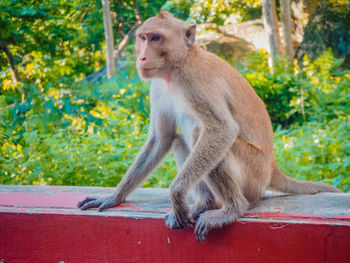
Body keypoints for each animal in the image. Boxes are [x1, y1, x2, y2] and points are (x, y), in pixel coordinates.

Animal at [77, 10, 342, 243]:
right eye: (143, 38)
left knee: (201, 135)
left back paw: (232, 209)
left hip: (253, 174)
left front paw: (176, 194)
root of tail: (271, 167)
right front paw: (113, 197)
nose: (141, 57)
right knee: (180, 140)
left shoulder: (194, 80)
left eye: (156, 38)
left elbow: (221, 130)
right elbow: (161, 139)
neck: (176, 67)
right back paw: (205, 204)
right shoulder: (158, 88)